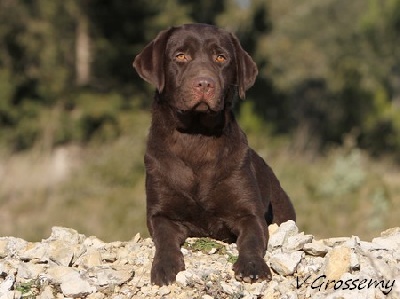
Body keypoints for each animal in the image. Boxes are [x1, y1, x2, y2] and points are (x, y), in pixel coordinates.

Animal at [133, 22, 296, 286]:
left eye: (221, 57)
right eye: (180, 56)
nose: (204, 83)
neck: (197, 138)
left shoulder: (249, 214)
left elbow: (251, 239)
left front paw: (252, 266)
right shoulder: (161, 214)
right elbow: (165, 240)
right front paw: (165, 267)